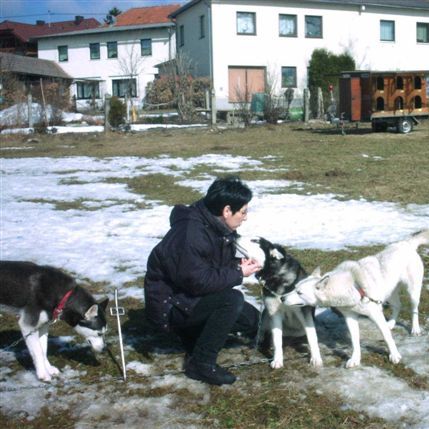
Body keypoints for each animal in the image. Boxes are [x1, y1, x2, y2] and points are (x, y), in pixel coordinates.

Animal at [234, 237, 320, 368]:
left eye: (255, 241)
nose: (235, 235)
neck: (276, 276)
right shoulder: (274, 312)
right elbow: (277, 340)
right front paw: (277, 359)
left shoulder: (304, 312)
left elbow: (312, 336)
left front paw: (316, 358)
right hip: (265, 313)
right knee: (263, 330)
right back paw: (259, 340)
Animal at [280, 231, 428, 368]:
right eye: (294, 288)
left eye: (299, 292)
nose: (282, 298)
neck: (351, 288)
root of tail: (407, 243)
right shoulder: (350, 317)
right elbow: (355, 341)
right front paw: (355, 359)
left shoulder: (375, 314)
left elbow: (387, 337)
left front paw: (394, 355)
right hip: (389, 294)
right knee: (398, 305)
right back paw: (391, 323)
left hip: (412, 293)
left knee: (414, 309)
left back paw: (415, 329)